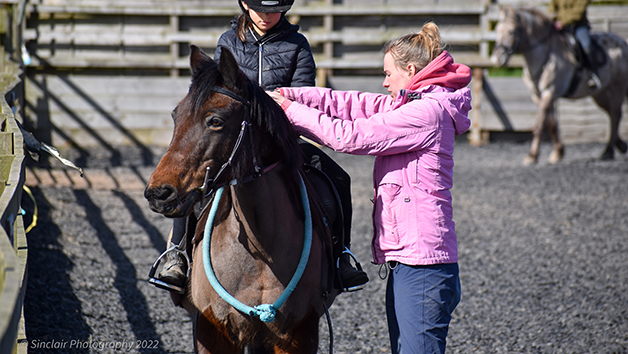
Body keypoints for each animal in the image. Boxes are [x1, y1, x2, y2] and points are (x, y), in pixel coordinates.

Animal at [145, 45, 338, 352]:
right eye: (176, 116)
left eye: (215, 121)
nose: (158, 193)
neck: (261, 248)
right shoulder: (212, 329)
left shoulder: (299, 333)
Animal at [490, 5, 628, 163]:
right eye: (497, 30)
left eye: (512, 31)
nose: (497, 59)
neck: (543, 55)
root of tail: (623, 42)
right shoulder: (538, 96)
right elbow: (550, 124)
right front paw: (558, 152)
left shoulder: (549, 93)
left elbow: (540, 125)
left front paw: (532, 155)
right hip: (600, 94)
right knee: (612, 114)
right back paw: (620, 145)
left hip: (618, 88)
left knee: (616, 114)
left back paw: (608, 151)